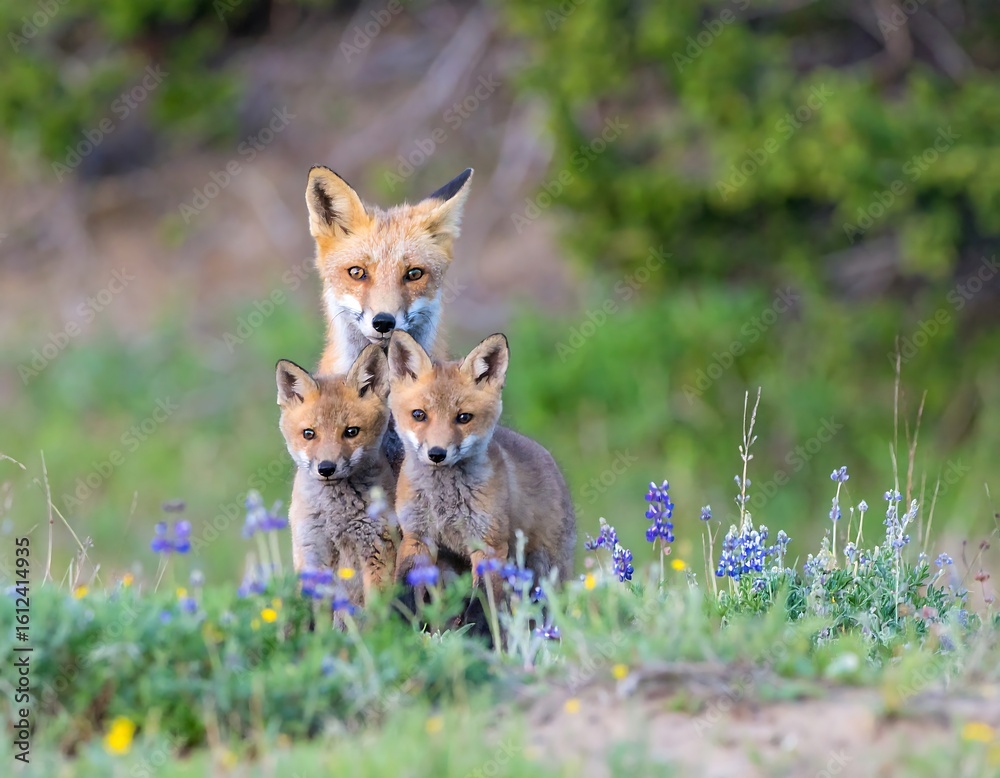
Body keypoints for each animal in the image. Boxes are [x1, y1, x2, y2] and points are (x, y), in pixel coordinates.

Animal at [276, 344, 397, 608]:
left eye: (351, 432)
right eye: (309, 434)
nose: (326, 468)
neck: (336, 516)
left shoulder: (377, 549)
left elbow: (376, 613)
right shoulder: (312, 550)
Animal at [386, 331, 576, 607]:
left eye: (464, 417)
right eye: (419, 415)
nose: (437, 454)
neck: (444, 504)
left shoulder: (489, 545)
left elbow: (482, 606)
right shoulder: (417, 537)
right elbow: (402, 595)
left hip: (543, 570)